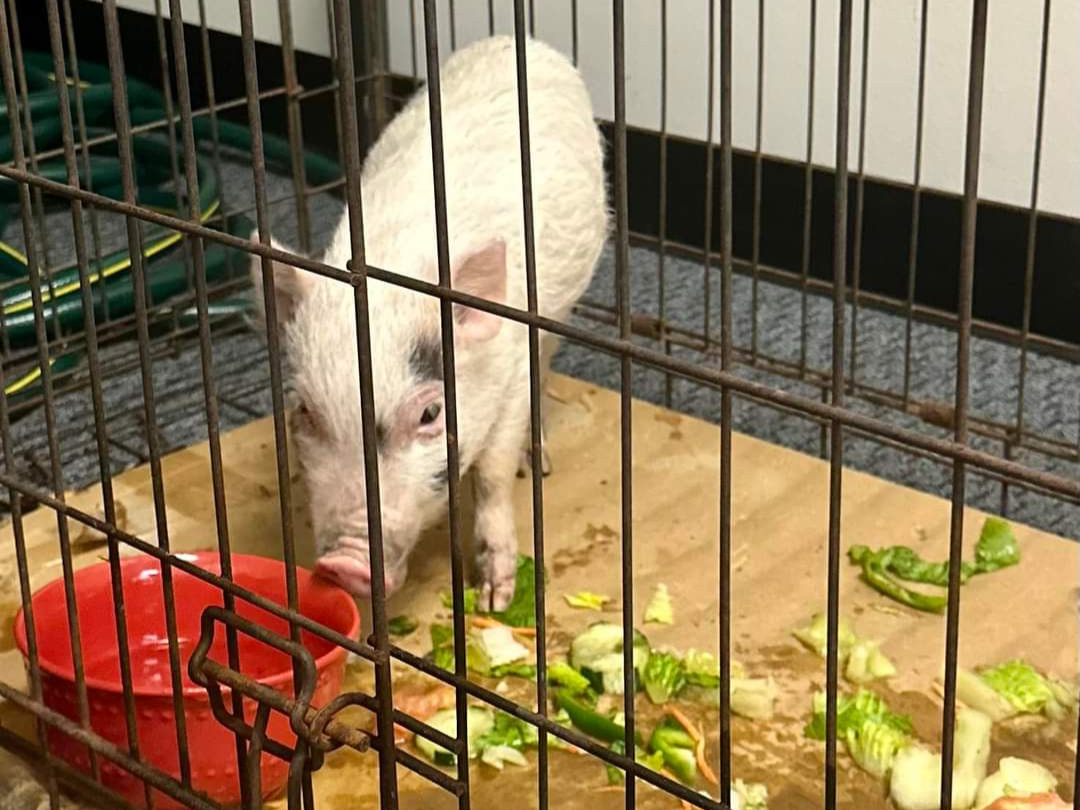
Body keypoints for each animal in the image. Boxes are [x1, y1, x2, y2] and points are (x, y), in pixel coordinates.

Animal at [248, 35, 608, 610]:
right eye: (304, 410)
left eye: (430, 413)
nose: (345, 564)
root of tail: (518, 40)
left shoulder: (508, 368)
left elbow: (492, 474)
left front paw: (495, 597)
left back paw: (538, 462)